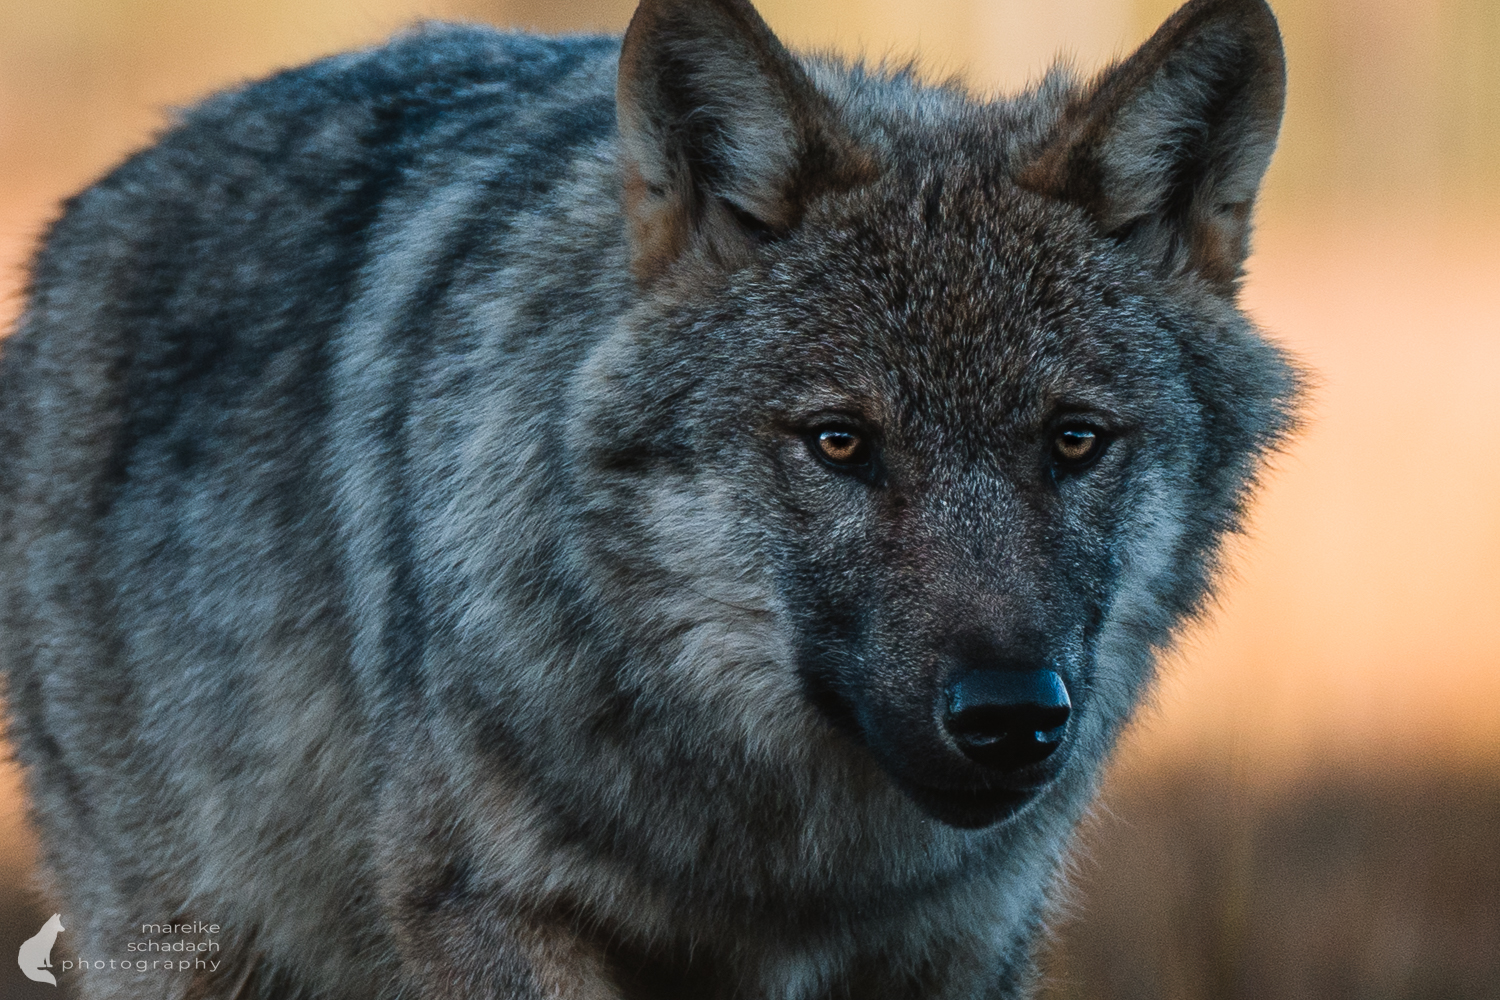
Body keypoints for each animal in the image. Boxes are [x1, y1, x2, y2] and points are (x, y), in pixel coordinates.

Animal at [0, 0, 1297, 996]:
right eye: (839, 443)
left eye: (1074, 442)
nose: (1010, 715)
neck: (791, 868)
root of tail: (88, 211)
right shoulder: (490, 911)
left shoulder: (963, 946)